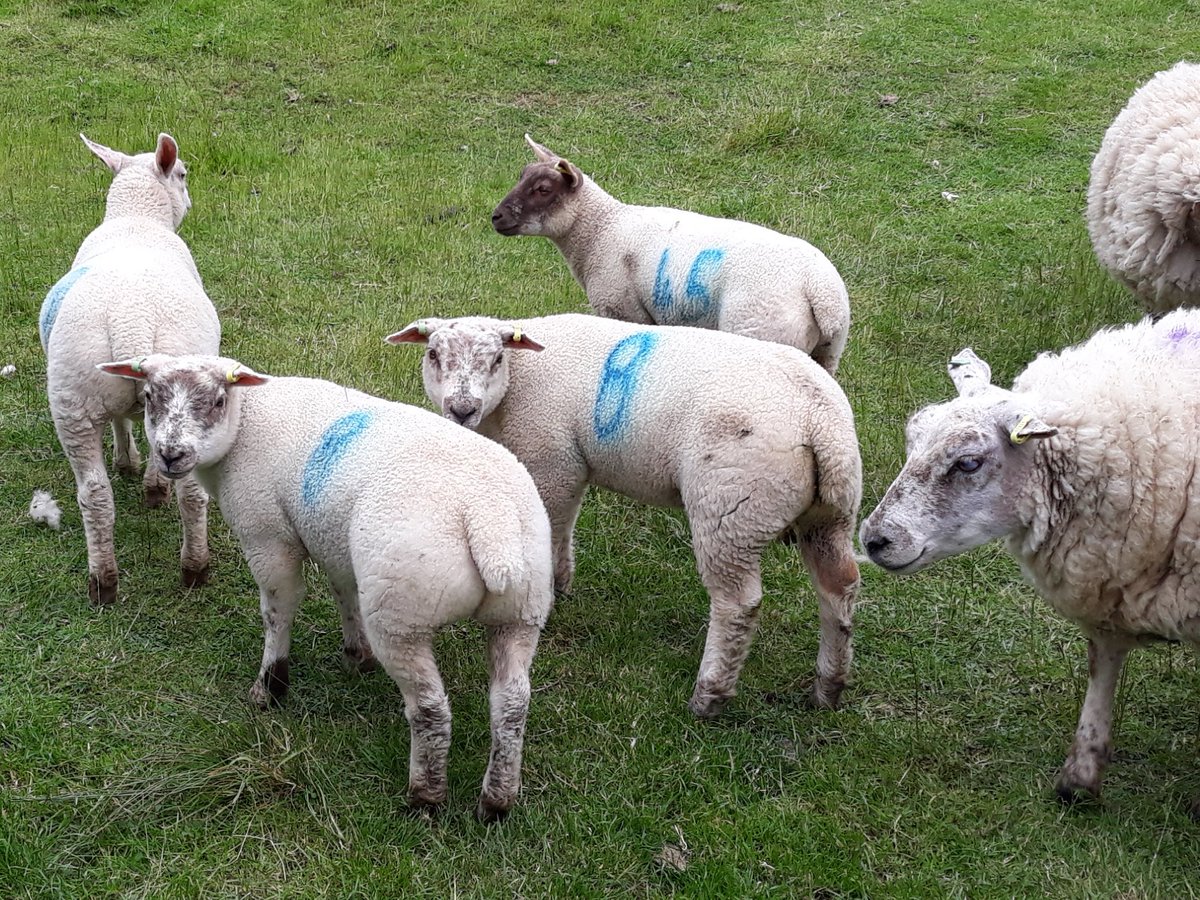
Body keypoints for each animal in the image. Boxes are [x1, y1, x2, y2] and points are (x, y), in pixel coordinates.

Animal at [41, 133, 220, 604]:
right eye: (184, 174)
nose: (190, 200)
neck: (135, 219)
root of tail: (130, 321)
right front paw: (147, 477)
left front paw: (135, 469)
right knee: (192, 494)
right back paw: (194, 567)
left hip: (71, 396)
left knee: (94, 496)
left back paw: (103, 581)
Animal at [97, 354, 554, 822]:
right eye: (149, 396)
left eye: (219, 400)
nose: (171, 456)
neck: (246, 424)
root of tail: (487, 521)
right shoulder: (334, 543)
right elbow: (343, 595)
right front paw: (356, 656)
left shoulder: (267, 537)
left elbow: (278, 611)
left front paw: (270, 688)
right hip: (522, 610)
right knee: (512, 704)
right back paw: (496, 801)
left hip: (401, 612)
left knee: (431, 710)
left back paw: (424, 798)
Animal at [387, 313, 862, 718]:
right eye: (433, 355)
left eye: (498, 359)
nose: (462, 409)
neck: (518, 382)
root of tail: (821, 422)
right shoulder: (571, 466)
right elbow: (566, 528)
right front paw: (564, 583)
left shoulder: (554, 463)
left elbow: (554, 529)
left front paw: (553, 588)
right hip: (830, 513)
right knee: (839, 586)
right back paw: (828, 687)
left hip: (731, 507)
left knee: (737, 605)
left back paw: (708, 696)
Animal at [490, 136, 852, 374]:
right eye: (521, 176)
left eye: (543, 190)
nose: (496, 217)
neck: (601, 230)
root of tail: (821, 292)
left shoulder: (623, 309)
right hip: (828, 352)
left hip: (762, 329)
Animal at [859, 308, 1200, 815]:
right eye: (911, 437)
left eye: (968, 462)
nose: (875, 539)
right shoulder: (1110, 586)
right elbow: (1102, 668)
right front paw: (1079, 779)